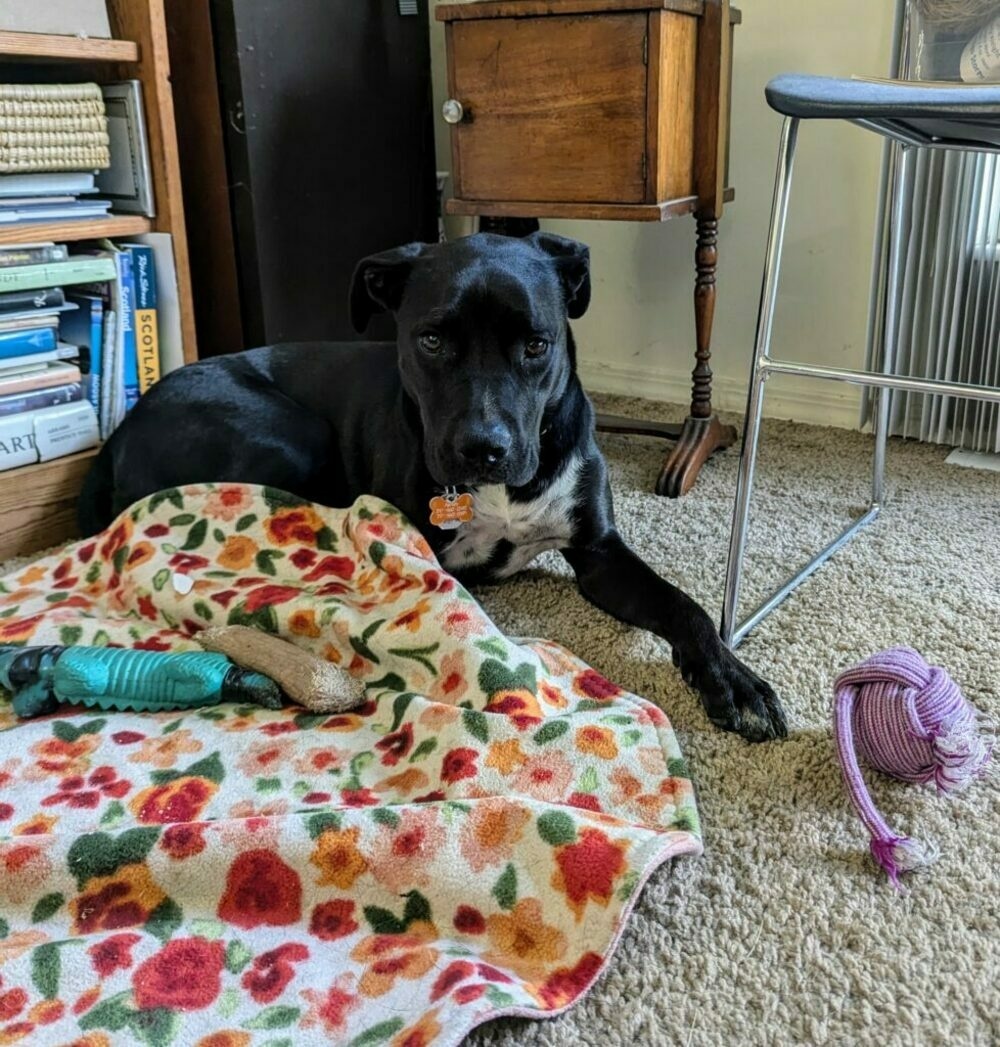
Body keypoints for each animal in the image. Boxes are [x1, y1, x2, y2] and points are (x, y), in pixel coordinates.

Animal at [78, 233, 787, 741]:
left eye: (538, 344)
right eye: (432, 339)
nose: (484, 449)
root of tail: (117, 434)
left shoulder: (600, 554)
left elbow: (683, 606)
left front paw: (734, 680)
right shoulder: (420, 552)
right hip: (292, 435)